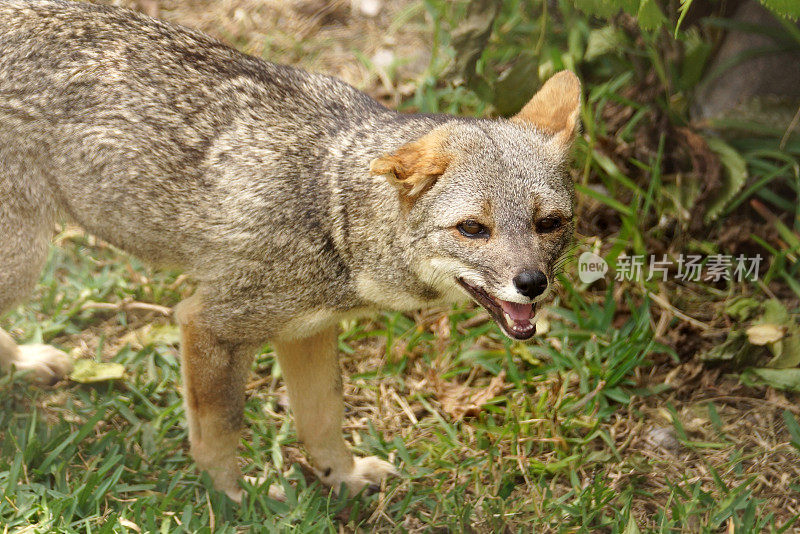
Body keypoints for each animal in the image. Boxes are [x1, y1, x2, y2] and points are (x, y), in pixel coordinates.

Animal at [0, 0, 580, 504]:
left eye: (549, 223)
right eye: (473, 229)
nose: (532, 283)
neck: (329, 207)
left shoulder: (306, 329)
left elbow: (322, 417)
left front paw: (342, 476)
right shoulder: (210, 323)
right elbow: (220, 427)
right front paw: (233, 496)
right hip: (24, 260)